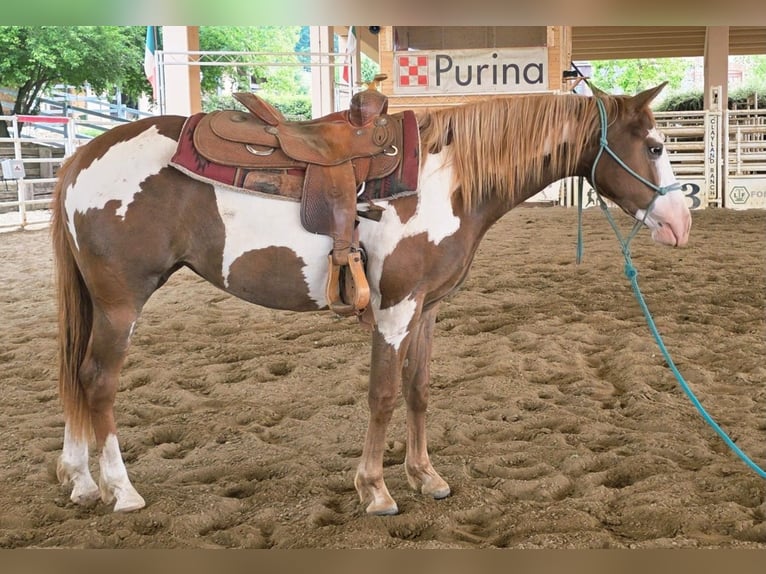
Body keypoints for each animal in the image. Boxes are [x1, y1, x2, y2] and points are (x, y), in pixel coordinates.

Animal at [51, 83, 691, 516]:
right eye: (655, 146)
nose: (681, 222)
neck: (445, 179)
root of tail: (81, 157)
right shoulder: (395, 307)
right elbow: (382, 394)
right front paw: (376, 488)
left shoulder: (427, 308)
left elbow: (418, 390)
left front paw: (425, 476)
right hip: (121, 303)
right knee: (98, 380)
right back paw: (121, 490)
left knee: (77, 374)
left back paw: (80, 480)